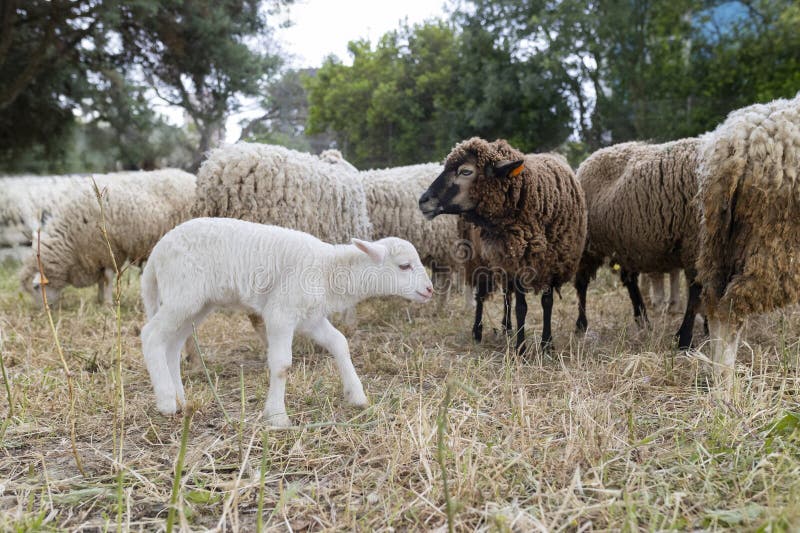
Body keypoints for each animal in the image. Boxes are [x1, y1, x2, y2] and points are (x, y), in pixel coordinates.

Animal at [141, 216, 434, 424]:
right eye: (404, 266)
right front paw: (277, 416)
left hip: (198, 303)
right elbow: (282, 365)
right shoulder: (281, 313)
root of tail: (156, 253)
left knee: (172, 345)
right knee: (151, 335)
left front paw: (357, 396)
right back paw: (166, 401)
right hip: (183, 293)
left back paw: (180, 398)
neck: (329, 270)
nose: (429, 290)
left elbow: (340, 343)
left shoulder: (311, 318)